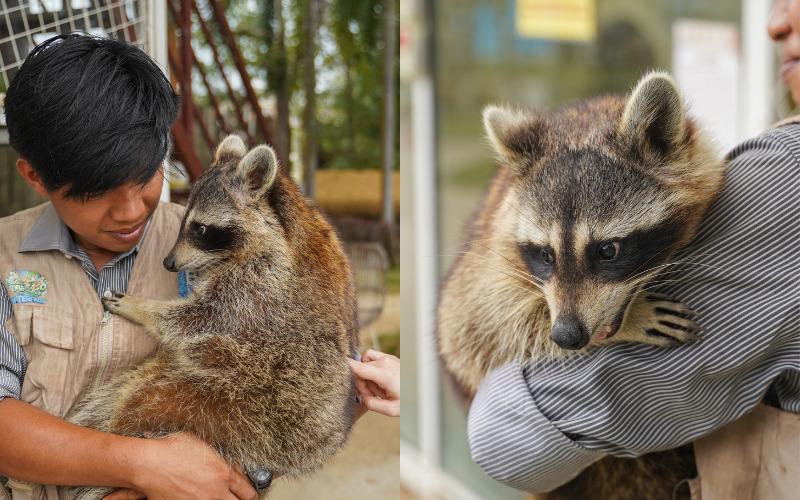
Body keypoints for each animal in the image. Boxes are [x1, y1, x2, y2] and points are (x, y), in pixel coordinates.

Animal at [63, 135, 359, 499]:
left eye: (201, 228)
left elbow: (199, 319)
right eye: (184, 223)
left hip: (232, 403)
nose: (169, 263)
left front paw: (142, 307)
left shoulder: (259, 286)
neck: (281, 219)